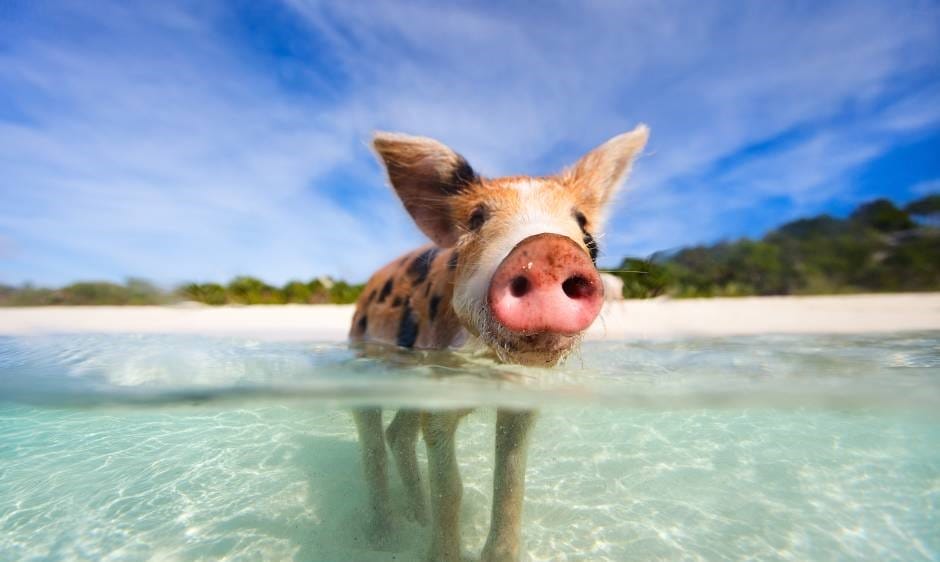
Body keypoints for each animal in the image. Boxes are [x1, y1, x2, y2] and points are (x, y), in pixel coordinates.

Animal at [348, 125, 648, 561]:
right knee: (372, 437)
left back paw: (416, 518)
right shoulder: (439, 392)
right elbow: (450, 489)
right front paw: (442, 556)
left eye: (583, 226)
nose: (547, 249)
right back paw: (384, 538)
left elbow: (509, 483)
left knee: (398, 434)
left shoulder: (521, 397)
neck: (489, 362)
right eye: (476, 219)